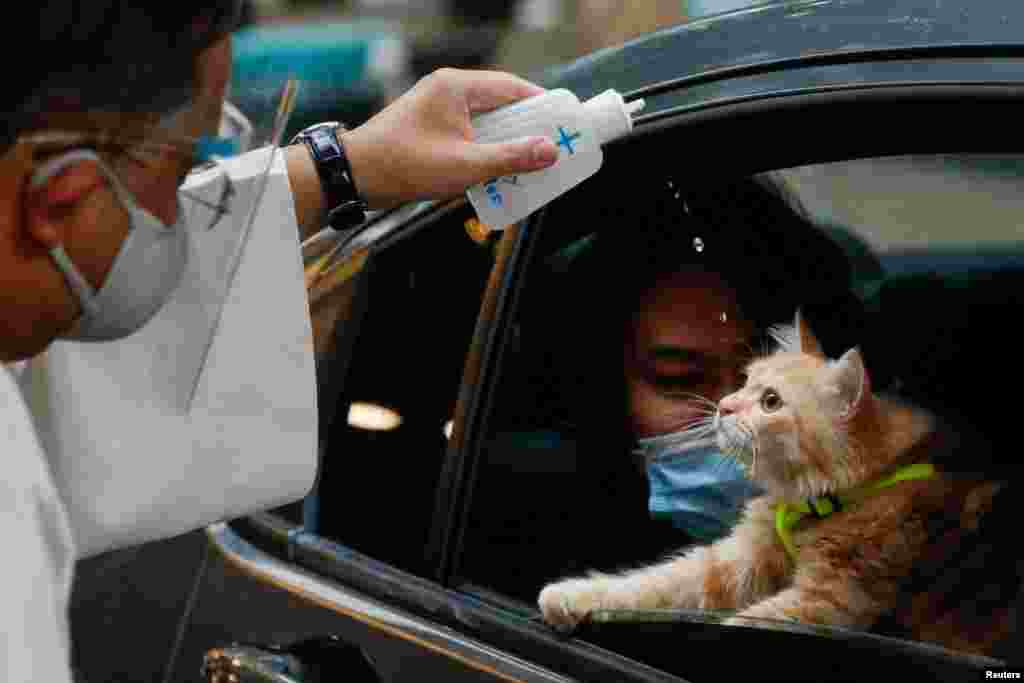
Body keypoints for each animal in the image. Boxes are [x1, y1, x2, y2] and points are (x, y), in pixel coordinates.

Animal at [540, 313, 1003, 655]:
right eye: (745, 382)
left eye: (771, 402)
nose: (724, 407)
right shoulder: (738, 559)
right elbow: (653, 583)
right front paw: (572, 596)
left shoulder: (830, 602)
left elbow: (738, 625)